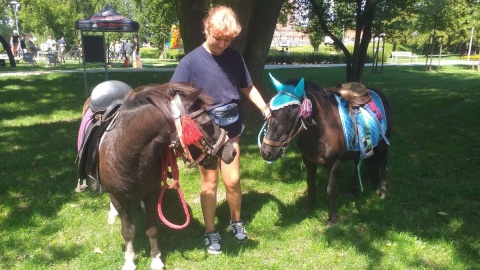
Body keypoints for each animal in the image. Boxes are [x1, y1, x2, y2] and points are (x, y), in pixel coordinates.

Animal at [86, 82, 236, 270]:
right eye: (208, 123)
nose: (232, 151)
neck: (126, 153)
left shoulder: (151, 194)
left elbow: (151, 228)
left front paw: (156, 259)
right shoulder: (120, 197)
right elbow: (128, 231)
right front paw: (129, 260)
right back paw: (113, 213)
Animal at [258, 75, 390, 228]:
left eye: (292, 114)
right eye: (270, 112)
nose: (266, 152)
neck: (322, 129)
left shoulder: (335, 163)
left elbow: (331, 190)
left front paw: (332, 219)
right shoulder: (308, 160)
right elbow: (310, 182)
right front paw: (309, 206)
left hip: (382, 145)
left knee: (382, 163)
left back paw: (383, 191)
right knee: (359, 163)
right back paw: (352, 189)